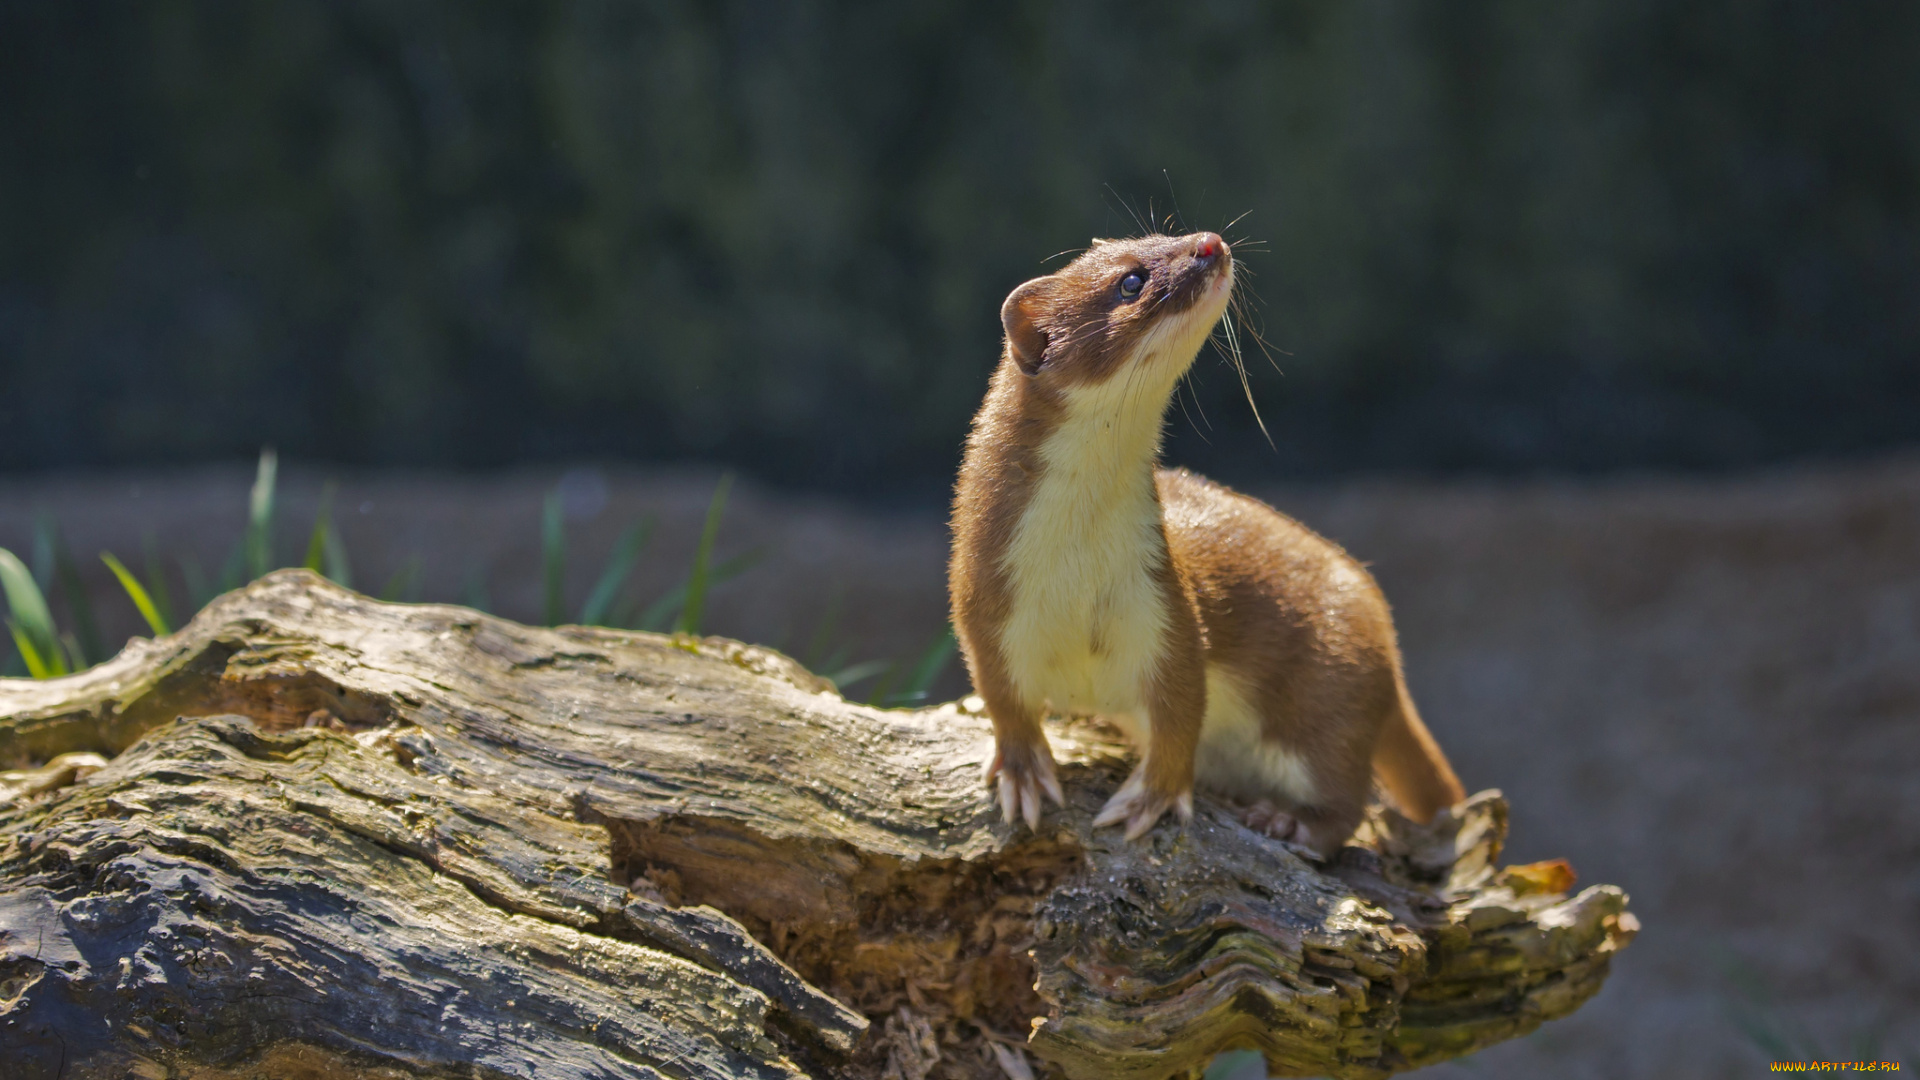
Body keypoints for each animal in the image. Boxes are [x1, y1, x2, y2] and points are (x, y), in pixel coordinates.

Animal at [952, 231, 1459, 853]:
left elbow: (1181, 712)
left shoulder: (1165, 608)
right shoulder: (984, 605)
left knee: (1345, 795)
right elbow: (1003, 699)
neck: (1076, 572)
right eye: (1131, 279)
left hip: (1328, 690)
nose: (1211, 243)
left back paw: (1286, 819)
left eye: (1164, 229)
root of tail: (1385, 638)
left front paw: (1151, 798)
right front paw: (1022, 774)